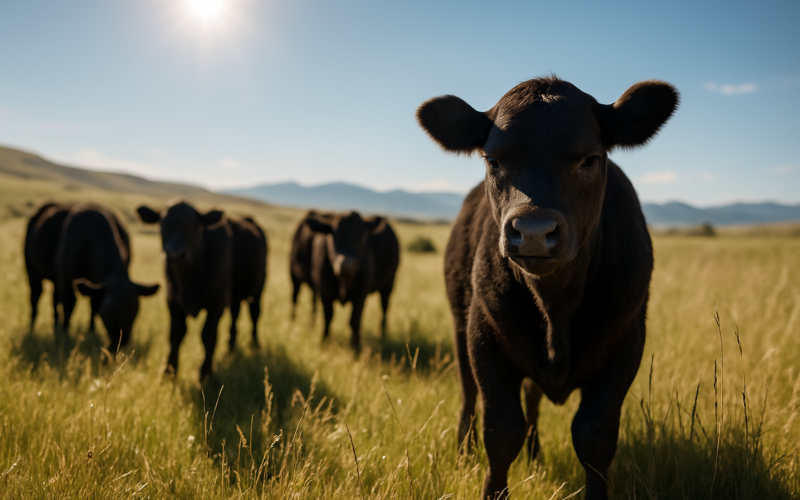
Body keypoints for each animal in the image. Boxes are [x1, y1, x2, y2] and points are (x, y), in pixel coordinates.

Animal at [43, 204, 158, 346]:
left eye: (135, 310)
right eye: (108, 310)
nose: (120, 340)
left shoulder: (97, 287)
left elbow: (94, 306)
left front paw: (91, 331)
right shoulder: (66, 280)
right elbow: (69, 305)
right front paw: (64, 333)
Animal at [137, 201, 267, 378]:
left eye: (194, 226)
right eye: (162, 226)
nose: (175, 255)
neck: (189, 281)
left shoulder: (217, 303)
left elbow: (208, 336)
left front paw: (205, 372)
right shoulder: (172, 300)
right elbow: (175, 334)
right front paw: (169, 370)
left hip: (258, 290)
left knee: (255, 314)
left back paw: (255, 345)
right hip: (235, 296)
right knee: (235, 315)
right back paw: (231, 347)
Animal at [304, 211, 399, 351]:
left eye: (361, 236)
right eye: (334, 236)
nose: (347, 265)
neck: (344, 281)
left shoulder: (361, 294)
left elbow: (355, 320)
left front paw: (356, 347)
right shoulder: (324, 292)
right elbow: (327, 317)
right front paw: (324, 342)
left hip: (388, 285)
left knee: (384, 308)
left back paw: (382, 335)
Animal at [416, 76, 678, 500]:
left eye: (590, 159)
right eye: (493, 160)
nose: (534, 232)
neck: (556, 305)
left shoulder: (625, 342)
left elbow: (595, 436)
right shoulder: (484, 336)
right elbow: (501, 431)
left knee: (533, 401)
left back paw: (536, 455)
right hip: (459, 325)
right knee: (470, 394)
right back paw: (464, 451)